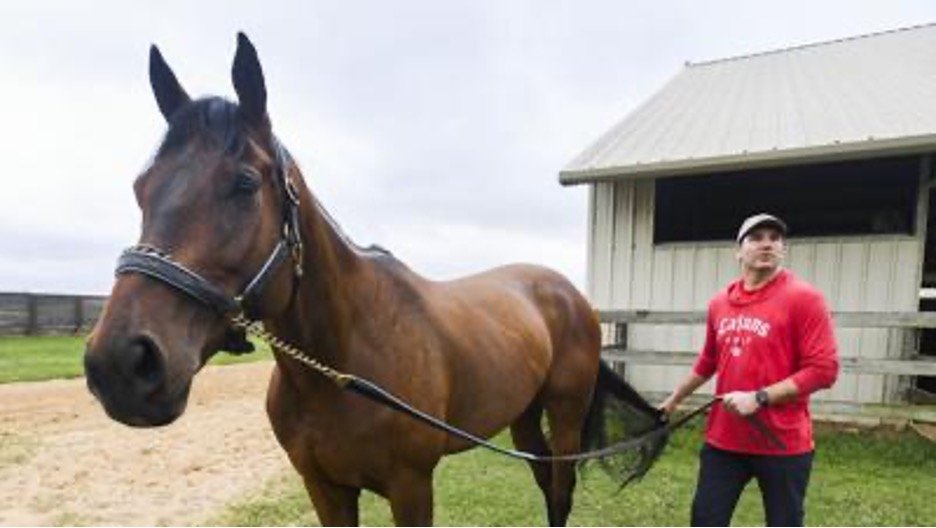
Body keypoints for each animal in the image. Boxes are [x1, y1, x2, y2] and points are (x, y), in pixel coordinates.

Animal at [83, 33, 664, 526]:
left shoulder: (411, 489)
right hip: (522, 416)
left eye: (244, 183)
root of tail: (569, 295)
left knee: (560, 491)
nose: (121, 363)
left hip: (565, 416)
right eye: (141, 187)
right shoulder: (325, 489)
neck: (340, 365)